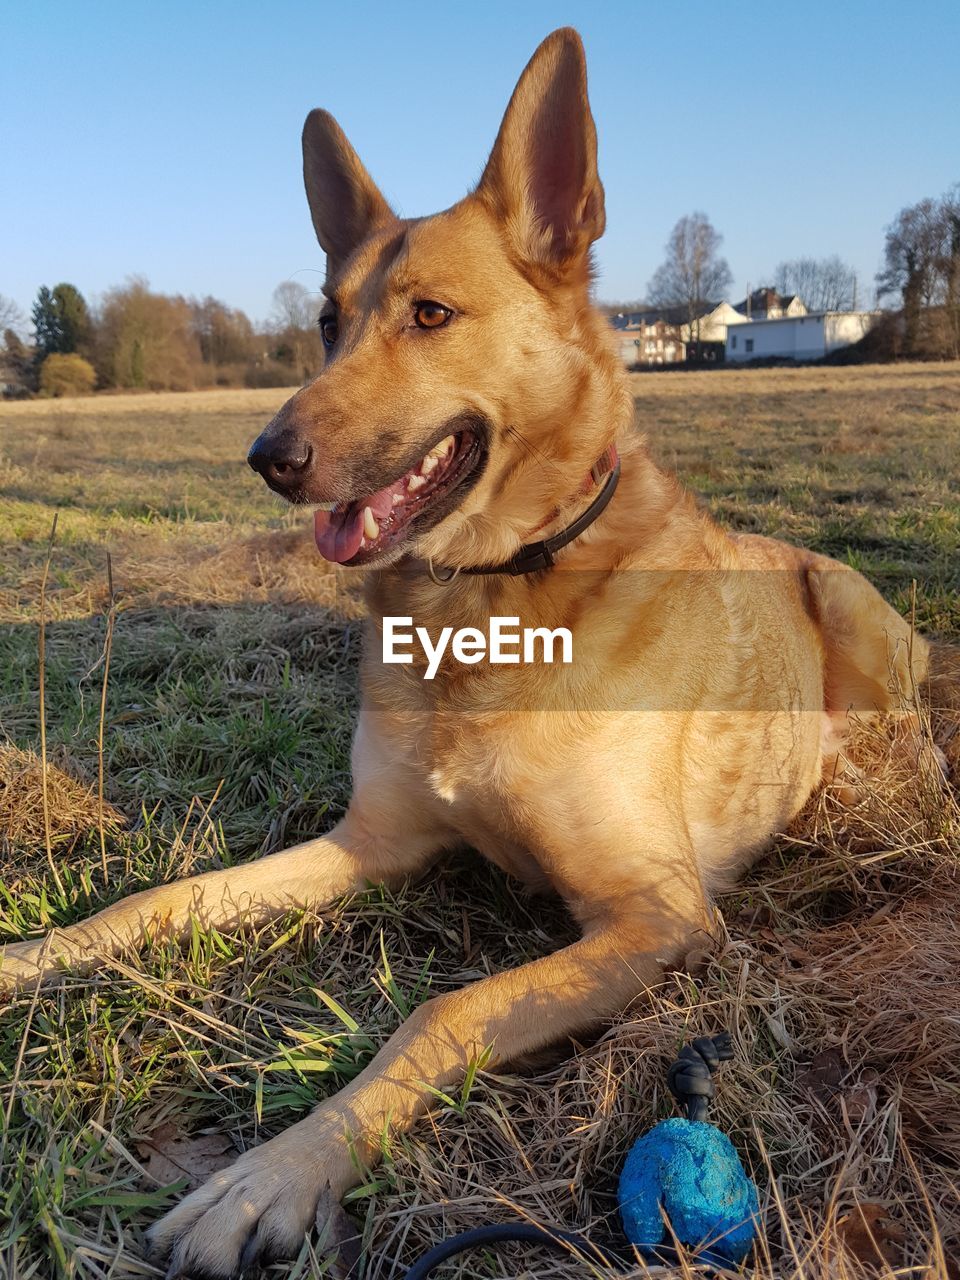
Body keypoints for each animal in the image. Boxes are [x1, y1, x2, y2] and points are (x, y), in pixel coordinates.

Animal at [0, 24, 931, 1274]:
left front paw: (273, 1174)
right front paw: (33, 955)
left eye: (432, 315)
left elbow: (447, 1009)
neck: (487, 597)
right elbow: (160, 901)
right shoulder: (370, 842)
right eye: (328, 322)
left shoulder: (659, 916)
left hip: (845, 603)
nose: (268, 457)